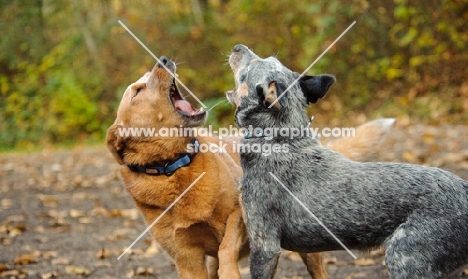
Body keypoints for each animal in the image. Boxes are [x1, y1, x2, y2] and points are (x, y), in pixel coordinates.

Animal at [107, 57, 394, 279]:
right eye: (137, 91)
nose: (164, 60)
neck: (176, 168)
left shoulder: (239, 215)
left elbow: (226, 248)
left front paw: (231, 272)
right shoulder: (186, 258)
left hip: (308, 248)